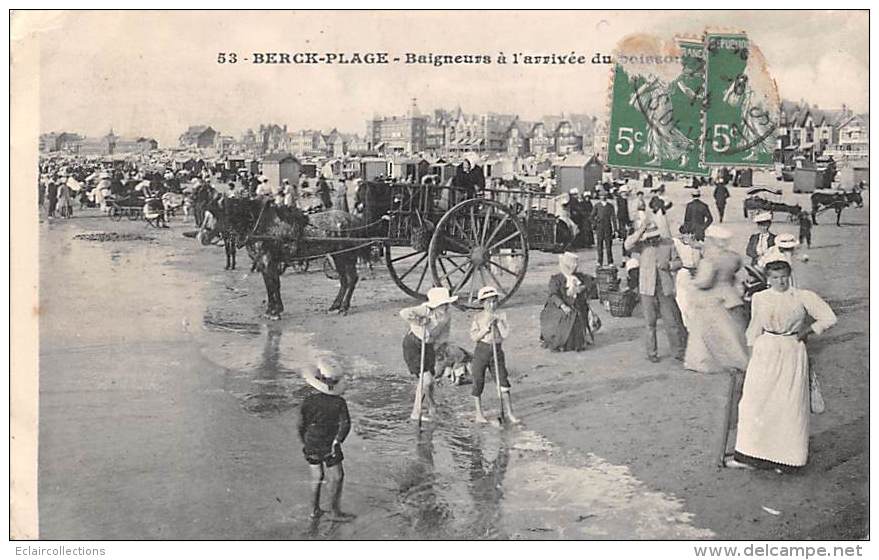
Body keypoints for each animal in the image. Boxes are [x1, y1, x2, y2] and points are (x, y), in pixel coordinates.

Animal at [196, 197, 368, 320]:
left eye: (215, 215)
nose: (201, 237)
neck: (261, 225)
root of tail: (354, 219)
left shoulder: (268, 261)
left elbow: (273, 285)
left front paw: (274, 312)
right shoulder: (264, 263)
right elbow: (271, 285)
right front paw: (273, 309)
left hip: (346, 256)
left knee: (351, 279)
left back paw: (344, 307)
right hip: (337, 256)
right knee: (344, 281)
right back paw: (335, 306)